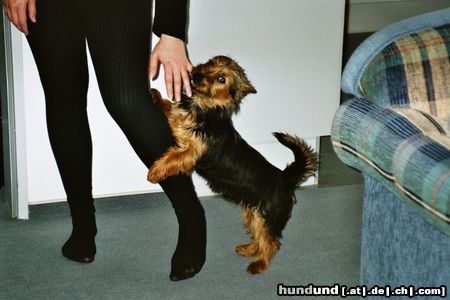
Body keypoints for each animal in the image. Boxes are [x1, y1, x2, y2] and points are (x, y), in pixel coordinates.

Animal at [148, 55, 316, 274]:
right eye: (211, 63)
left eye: (221, 79)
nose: (197, 74)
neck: (203, 106)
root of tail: (284, 179)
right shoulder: (181, 126)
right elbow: (172, 112)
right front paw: (157, 96)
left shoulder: (192, 152)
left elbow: (173, 157)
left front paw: (155, 171)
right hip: (252, 214)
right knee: (260, 237)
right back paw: (249, 249)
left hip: (266, 216)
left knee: (271, 242)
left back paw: (259, 265)